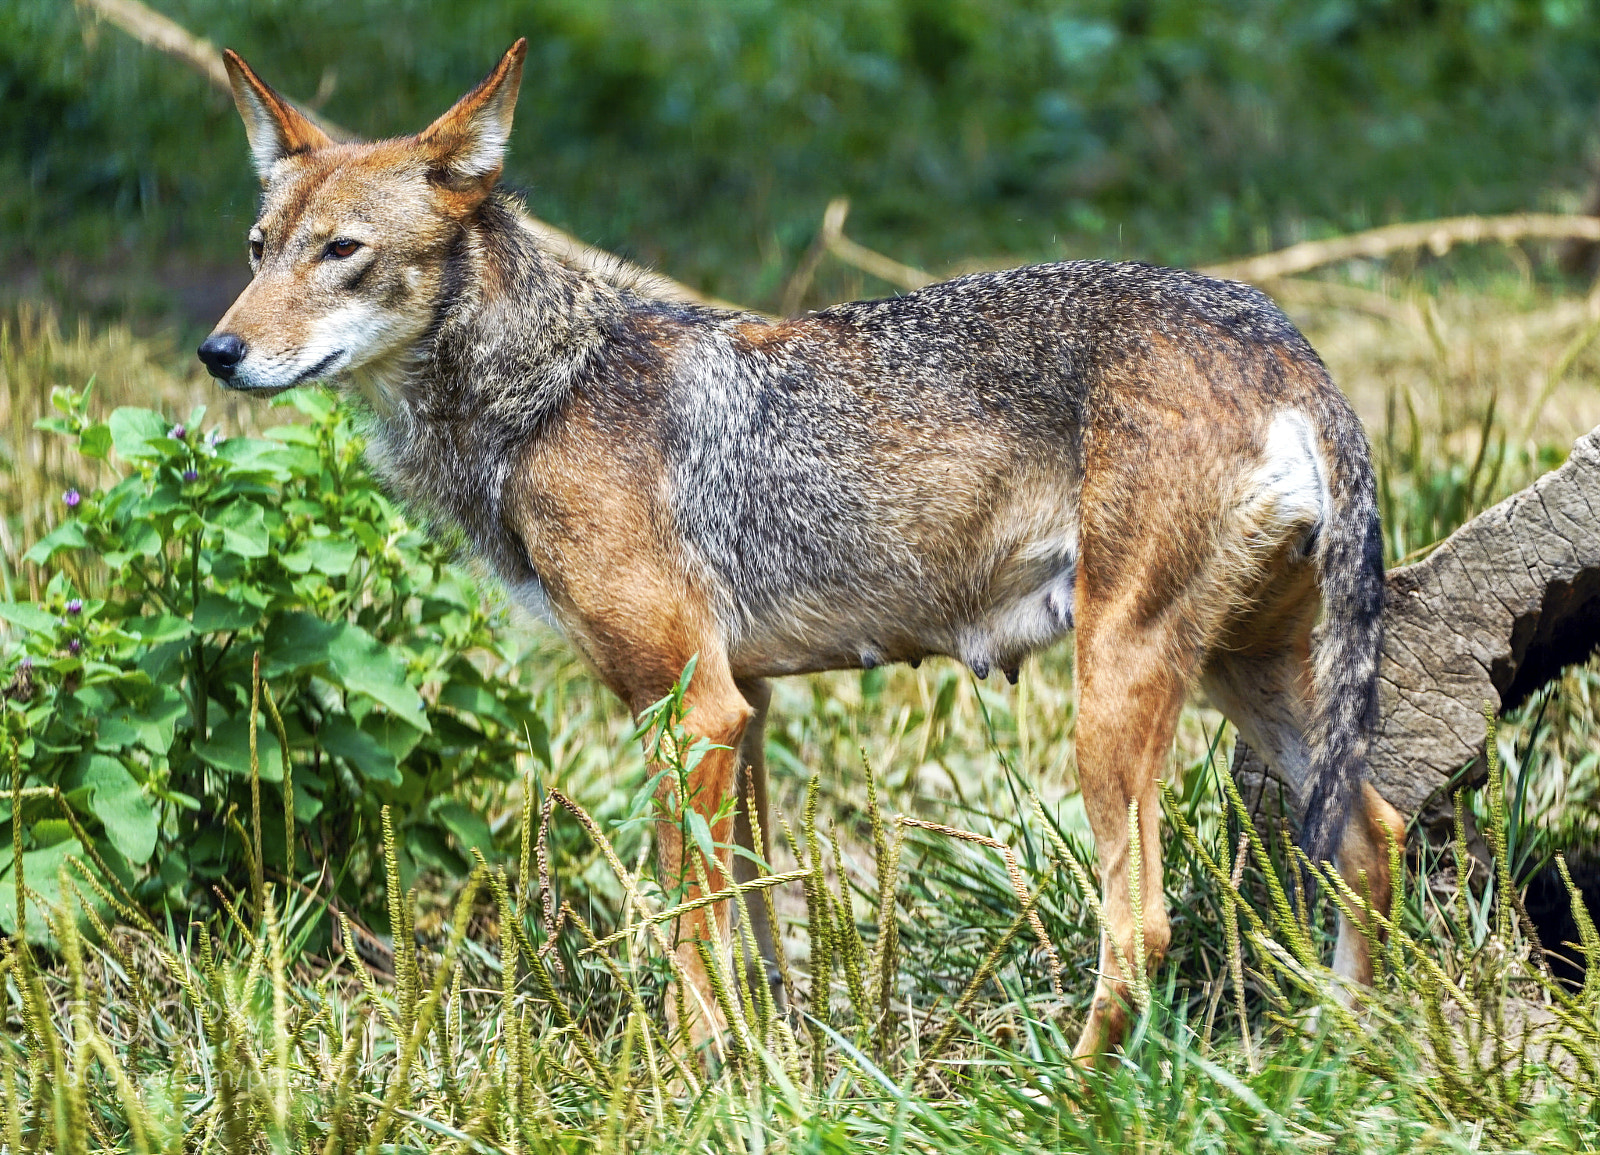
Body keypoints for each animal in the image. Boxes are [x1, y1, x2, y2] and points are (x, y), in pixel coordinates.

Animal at [201, 40, 1407, 1059]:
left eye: (343, 253)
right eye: (258, 251)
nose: (219, 351)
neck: (549, 392)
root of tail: (1287, 345)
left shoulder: (691, 709)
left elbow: (691, 927)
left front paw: (687, 1076)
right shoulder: (748, 707)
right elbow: (753, 922)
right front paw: (774, 1061)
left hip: (1113, 699)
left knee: (1144, 925)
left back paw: (1076, 1088)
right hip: (1243, 681)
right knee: (1374, 834)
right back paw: (1339, 1055)